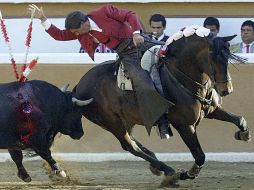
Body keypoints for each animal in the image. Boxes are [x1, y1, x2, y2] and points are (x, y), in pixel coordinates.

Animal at [73, 33, 250, 186]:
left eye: (228, 57)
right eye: (213, 58)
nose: (226, 90)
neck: (180, 76)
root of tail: (79, 86)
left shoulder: (211, 111)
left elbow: (240, 119)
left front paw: (244, 134)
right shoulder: (184, 125)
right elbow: (199, 155)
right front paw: (187, 174)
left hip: (126, 119)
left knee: (132, 141)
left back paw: (157, 165)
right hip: (111, 122)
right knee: (130, 146)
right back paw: (169, 171)